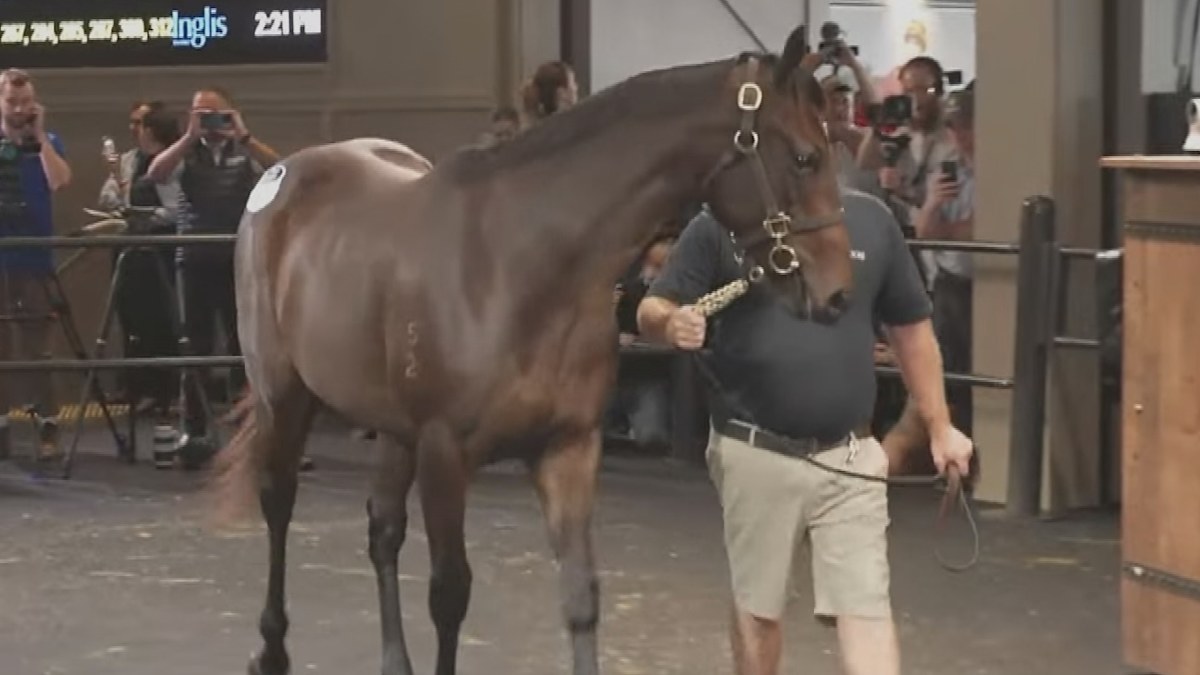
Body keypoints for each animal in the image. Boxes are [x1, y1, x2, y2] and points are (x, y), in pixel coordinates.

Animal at [212, 26, 853, 675]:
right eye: (806, 157)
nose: (838, 294)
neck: (518, 262)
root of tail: (284, 172)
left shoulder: (568, 447)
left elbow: (580, 596)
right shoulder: (445, 451)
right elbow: (449, 595)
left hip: (392, 428)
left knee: (383, 529)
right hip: (285, 398)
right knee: (278, 502)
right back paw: (270, 649)